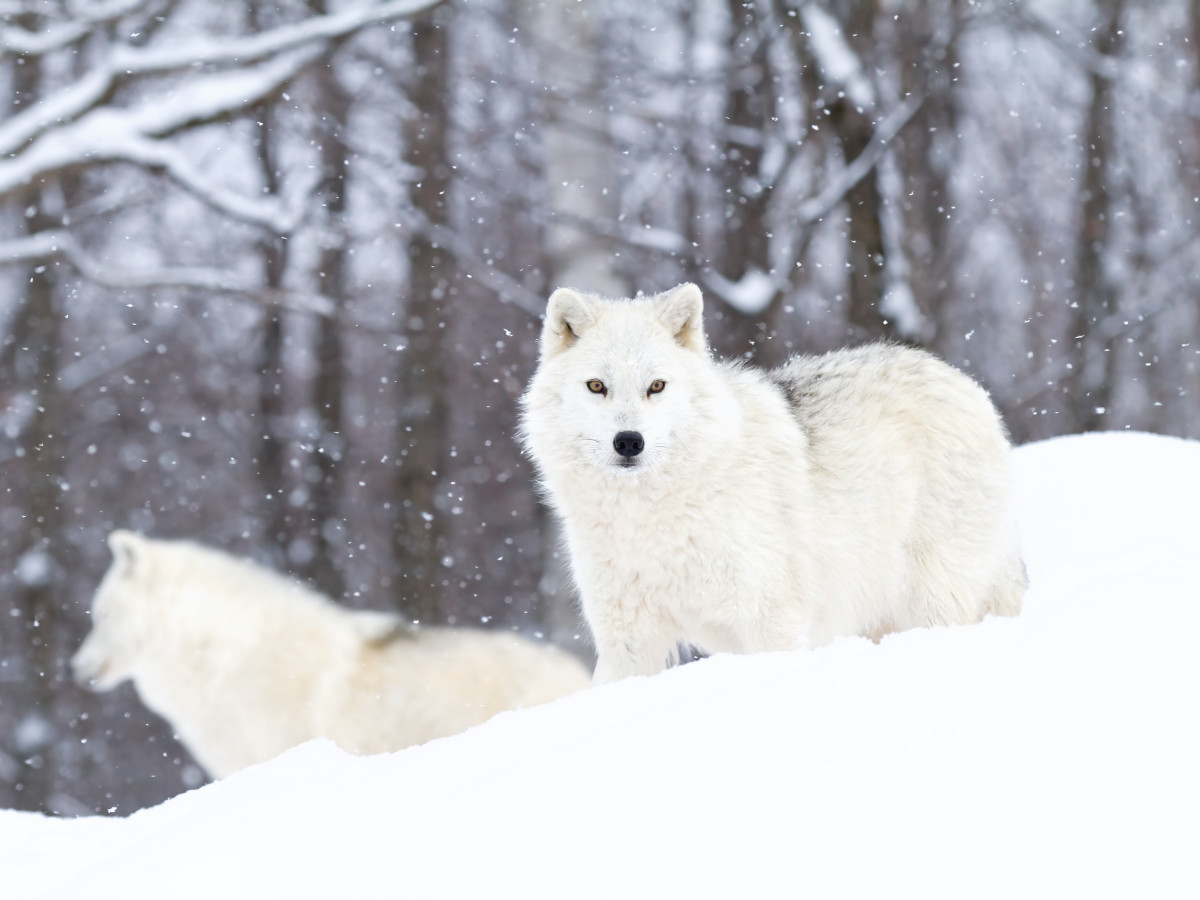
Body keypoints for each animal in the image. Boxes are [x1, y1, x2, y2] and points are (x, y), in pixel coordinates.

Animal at [520, 283, 1026, 684]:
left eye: (656, 387)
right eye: (596, 386)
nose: (629, 442)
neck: (651, 517)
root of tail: (966, 385)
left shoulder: (772, 623)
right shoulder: (626, 642)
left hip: (929, 599)